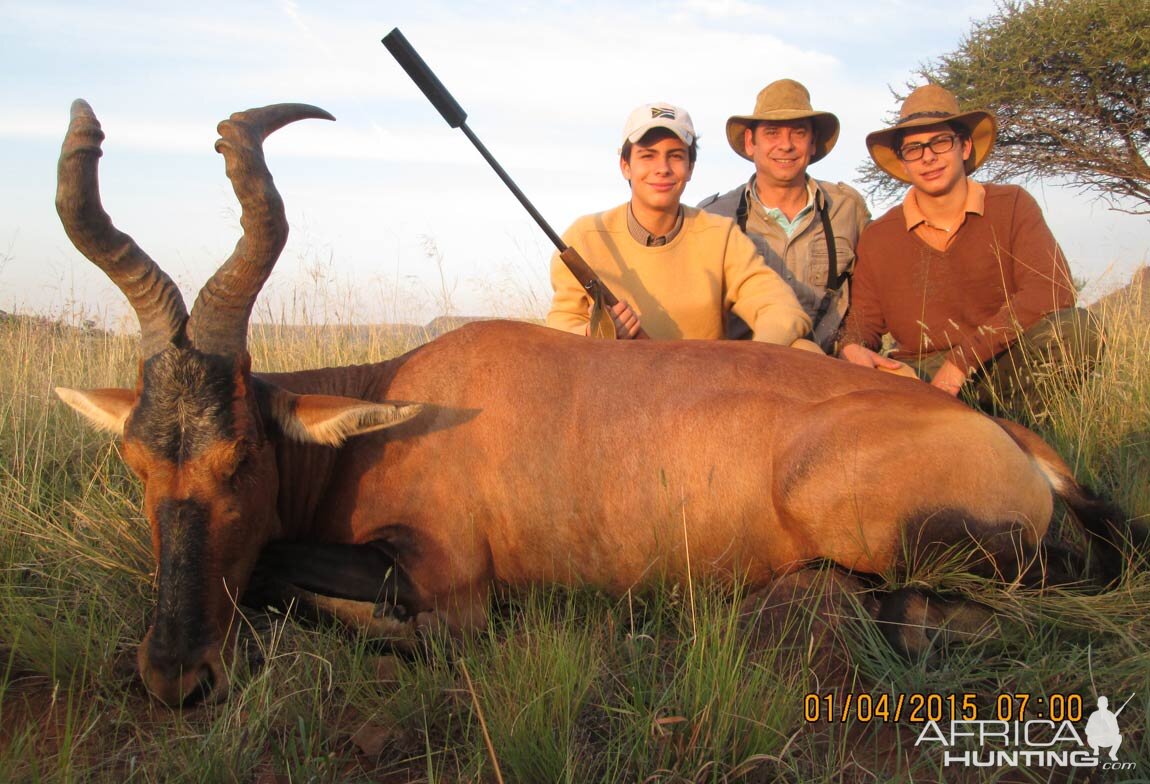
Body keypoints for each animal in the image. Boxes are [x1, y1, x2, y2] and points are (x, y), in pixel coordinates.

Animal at [54, 100, 1131, 703]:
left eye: (241, 459)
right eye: (139, 461)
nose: (175, 675)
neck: (394, 404)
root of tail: (1007, 438)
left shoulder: (445, 584)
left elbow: (297, 574)